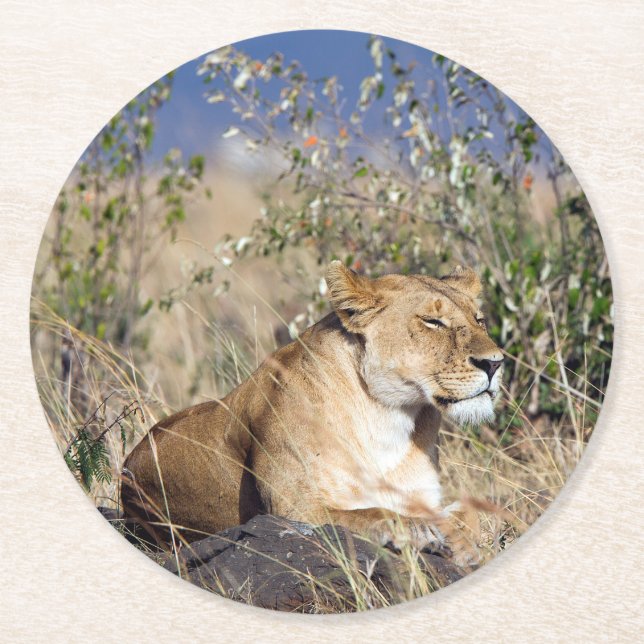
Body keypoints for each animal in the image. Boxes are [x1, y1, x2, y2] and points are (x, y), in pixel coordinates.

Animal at [122, 262, 503, 556]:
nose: (495, 363)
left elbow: (472, 513)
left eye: (480, 319)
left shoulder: (425, 497)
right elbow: (369, 514)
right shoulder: (292, 511)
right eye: (432, 322)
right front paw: (418, 532)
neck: (388, 417)